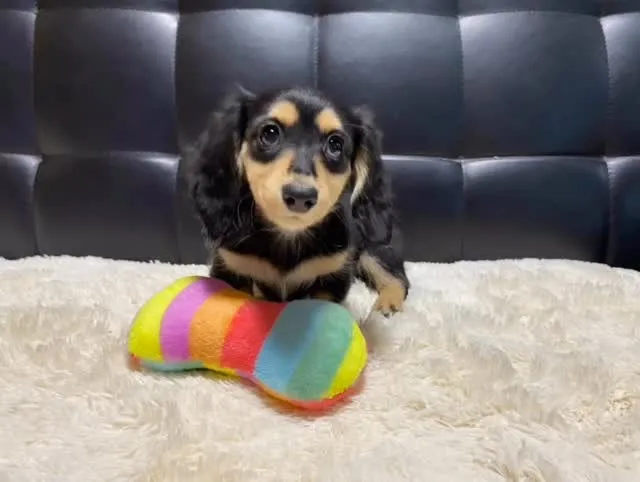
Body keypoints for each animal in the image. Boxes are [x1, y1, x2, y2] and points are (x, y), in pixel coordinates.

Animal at [186, 86, 409, 316]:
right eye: (270, 133)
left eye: (335, 144)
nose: (300, 196)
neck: (288, 236)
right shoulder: (231, 266)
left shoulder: (331, 277)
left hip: (375, 246)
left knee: (396, 278)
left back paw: (387, 307)